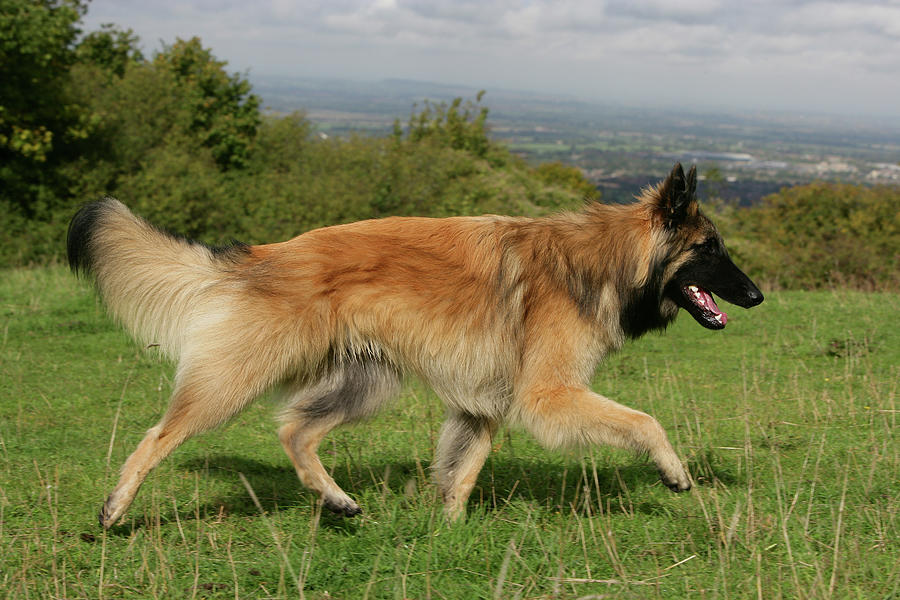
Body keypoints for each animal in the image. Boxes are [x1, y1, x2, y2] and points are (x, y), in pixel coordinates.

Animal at [67, 162, 764, 528]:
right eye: (710, 249)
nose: (757, 296)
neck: (605, 261)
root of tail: (263, 256)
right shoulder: (547, 394)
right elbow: (645, 421)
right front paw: (674, 472)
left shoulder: (483, 405)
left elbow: (461, 471)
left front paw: (447, 532)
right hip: (236, 381)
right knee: (159, 436)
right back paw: (114, 509)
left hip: (365, 384)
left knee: (294, 431)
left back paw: (337, 499)